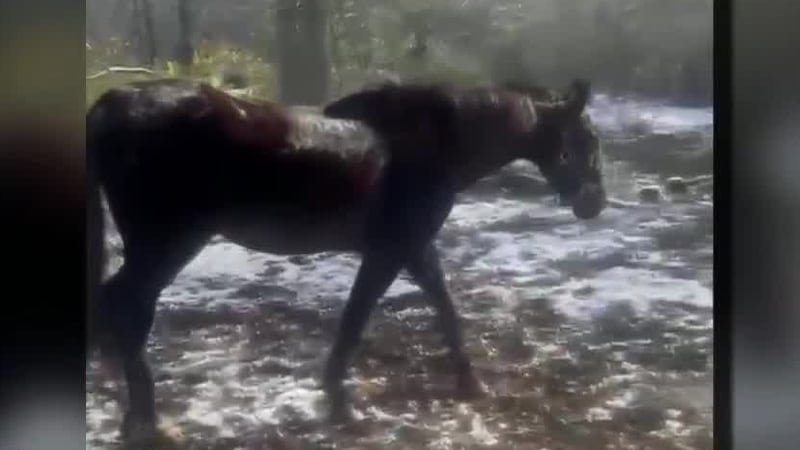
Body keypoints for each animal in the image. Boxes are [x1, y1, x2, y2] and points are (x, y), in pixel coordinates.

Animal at [86, 78, 606, 442]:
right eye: (586, 141)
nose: (595, 204)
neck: (437, 143)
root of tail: (112, 102)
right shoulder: (390, 251)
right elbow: (357, 318)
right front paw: (341, 401)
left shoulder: (415, 248)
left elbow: (444, 306)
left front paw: (469, 381)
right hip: (167, 243)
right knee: (127, 306)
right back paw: (148, 421)